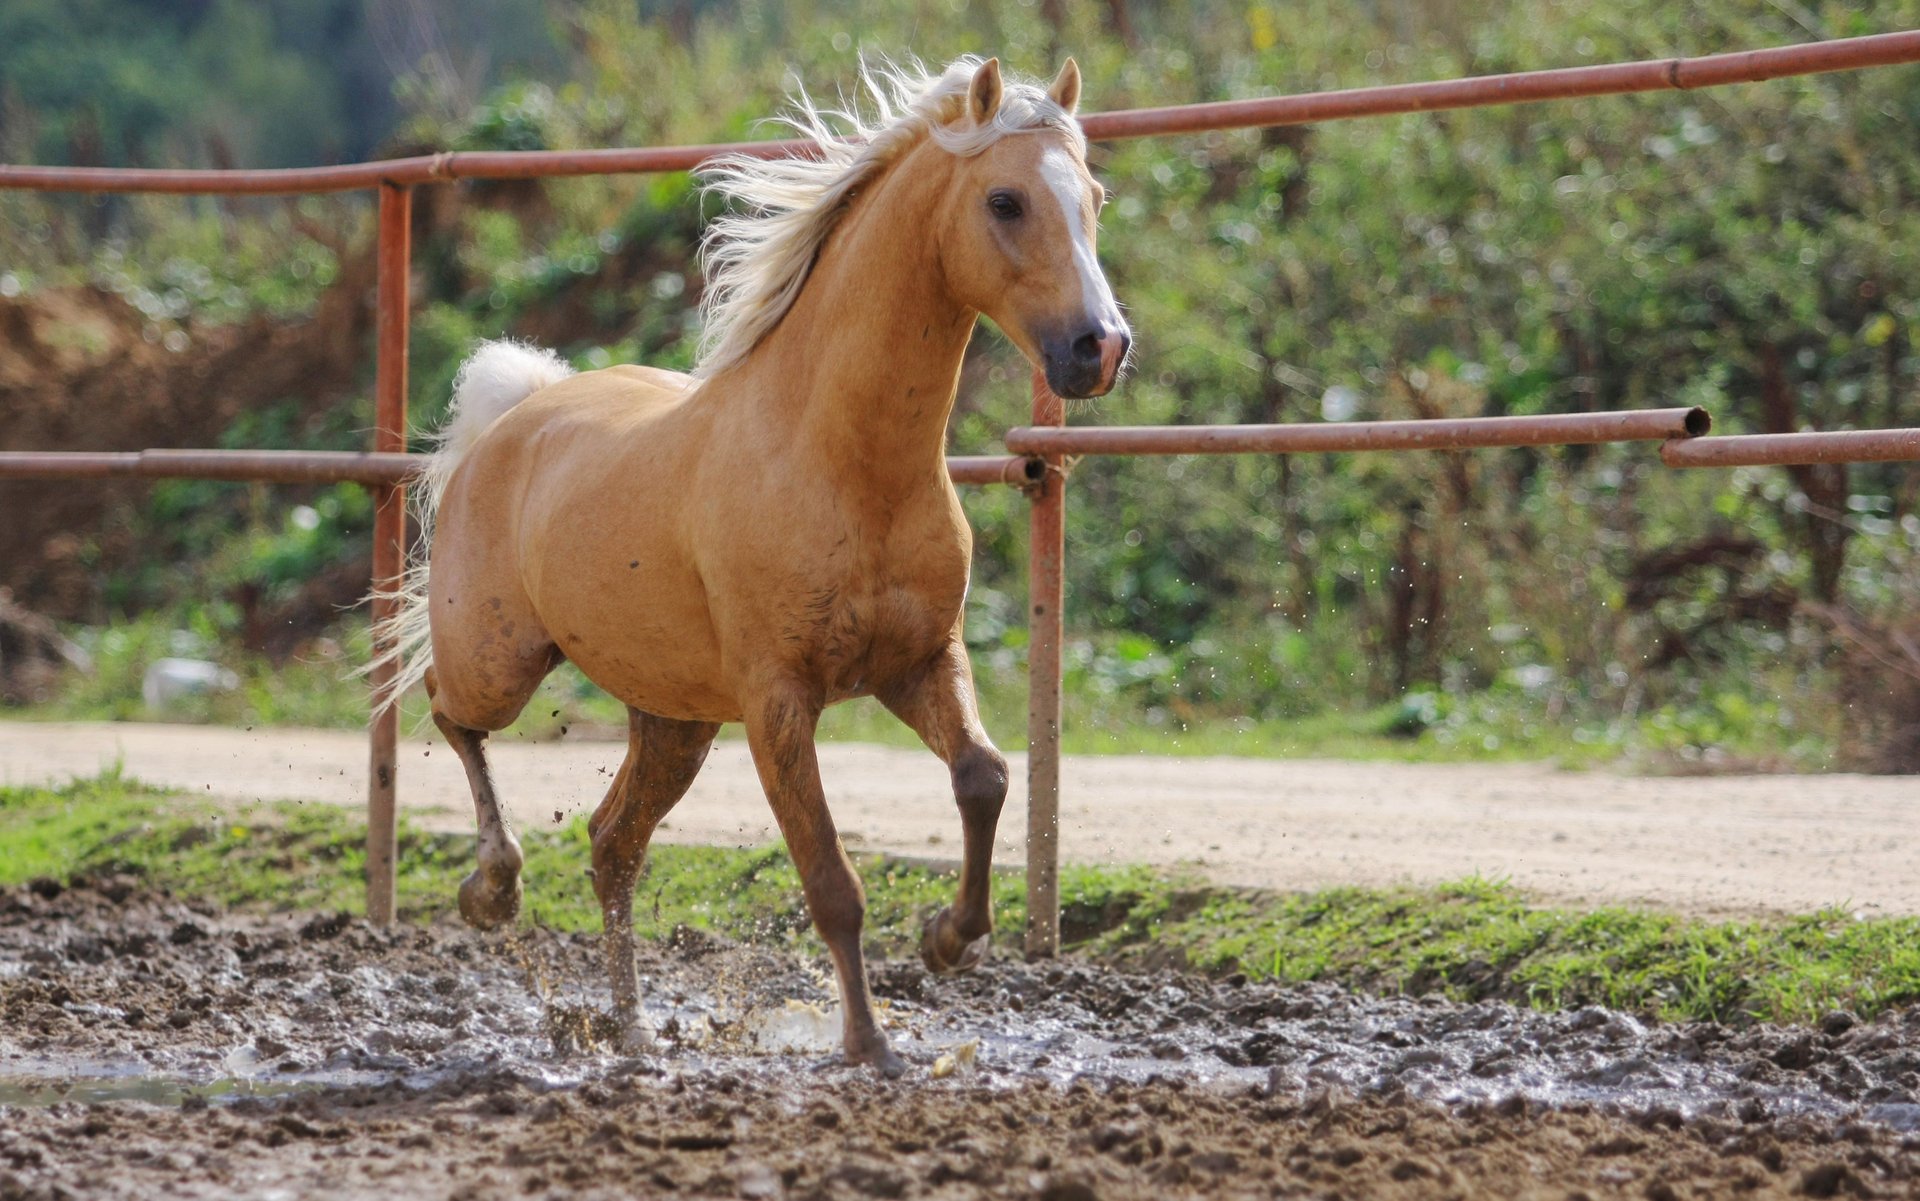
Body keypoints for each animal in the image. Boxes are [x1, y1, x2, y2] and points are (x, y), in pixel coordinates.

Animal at [372, 55, 1129, 1077]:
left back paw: (632, 1029)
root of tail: (516, 414)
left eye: (1092, 197)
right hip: (501, 660)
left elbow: (986, 775)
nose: (1100, 347)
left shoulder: (921, 661)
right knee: (452, 714)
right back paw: (494, 888)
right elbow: (832, 880)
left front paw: (949, 939)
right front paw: (869, 1044)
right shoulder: (779, 701)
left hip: (676, 719)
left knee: (613, 844)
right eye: (1005, 200)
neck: (843, 461)